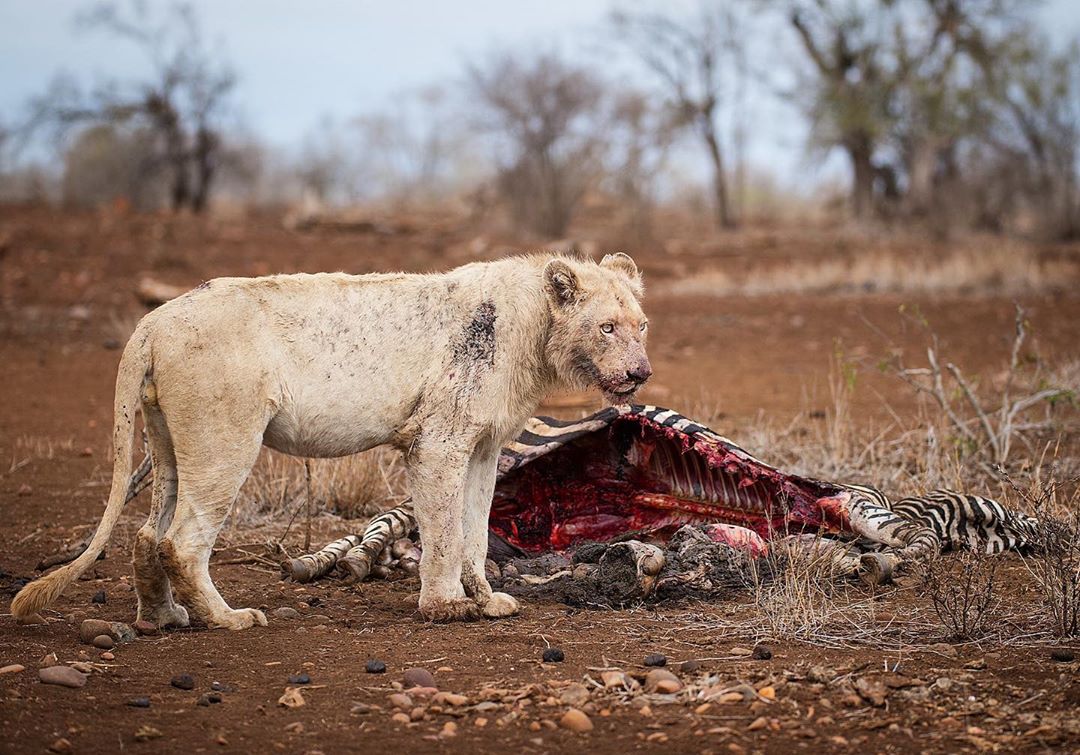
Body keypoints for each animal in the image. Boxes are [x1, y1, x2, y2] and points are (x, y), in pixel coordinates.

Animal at [12, 250, 648, 630]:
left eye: (640, 325)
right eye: (605, 327)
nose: (640, 373)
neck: (535, 330)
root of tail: (151, 322)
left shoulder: (484, 447)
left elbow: (473, 530)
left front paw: (486, 599)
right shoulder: (439, 442)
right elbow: (444, 532)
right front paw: (444, 607)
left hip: (167, 441)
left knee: (148, 533)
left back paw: (163, 617)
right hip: (224, 440)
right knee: (182, 540)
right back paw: (228, 619)